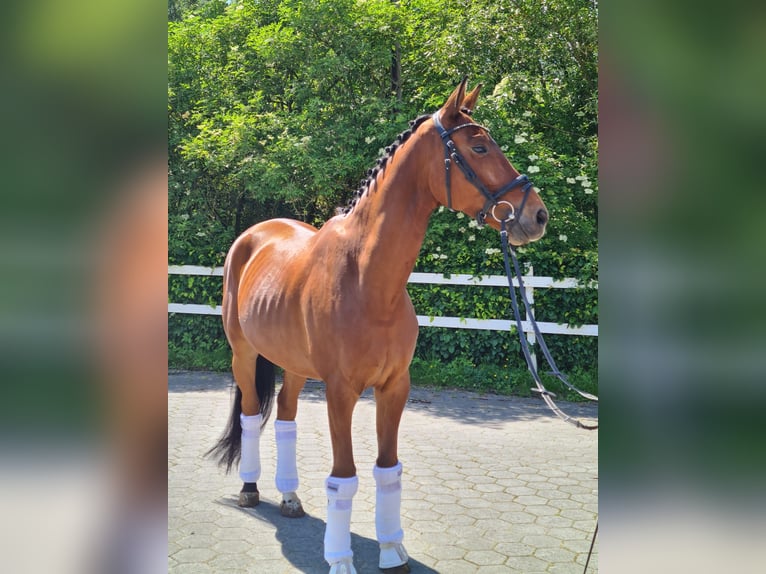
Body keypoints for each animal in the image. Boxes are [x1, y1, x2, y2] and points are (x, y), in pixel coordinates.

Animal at [207, 77, 548, 574]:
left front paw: (391, 551)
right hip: (244, 355)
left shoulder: (394, 387)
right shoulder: (341, 391)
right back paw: (250, 489)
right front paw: (341, 560)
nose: (537, 215)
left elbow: (389, 470)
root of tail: (252, 236)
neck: (368, 280)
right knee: (252, 415)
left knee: (286, 416)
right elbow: (343, 477)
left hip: (294, 365)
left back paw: (289, 497)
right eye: (480, 146)